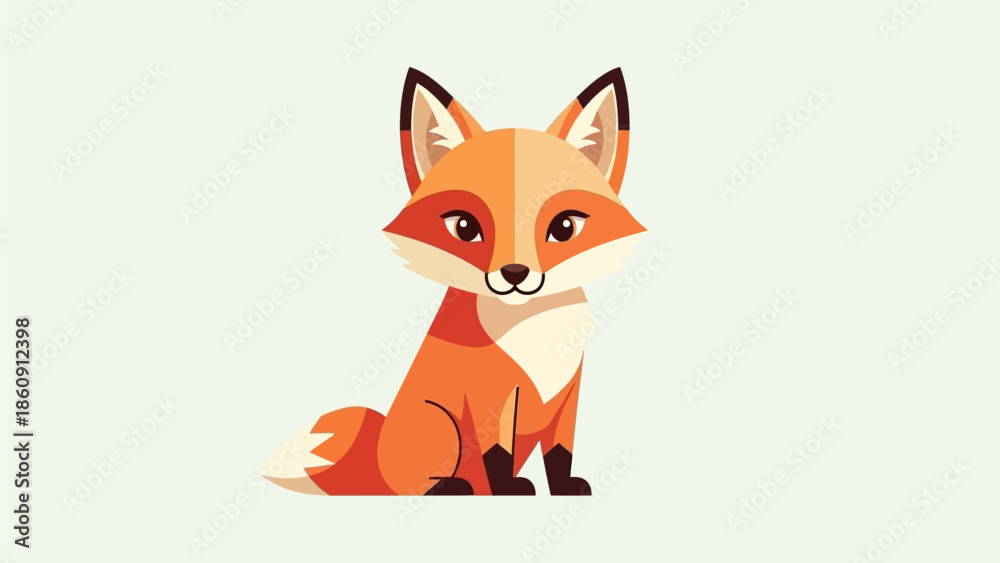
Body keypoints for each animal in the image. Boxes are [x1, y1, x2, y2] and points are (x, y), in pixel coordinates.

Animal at [262, 68, 645, 495]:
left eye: (564, 227)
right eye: (465, 227)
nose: (514, 274)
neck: (533, 332)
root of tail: (377, 459)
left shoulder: (567, 397)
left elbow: (560, 453)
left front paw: (564, 488)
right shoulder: (490, 398)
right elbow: (499, 453)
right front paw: (508, 490)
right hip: (442, 424)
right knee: (421, 484)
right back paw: (453, 487)